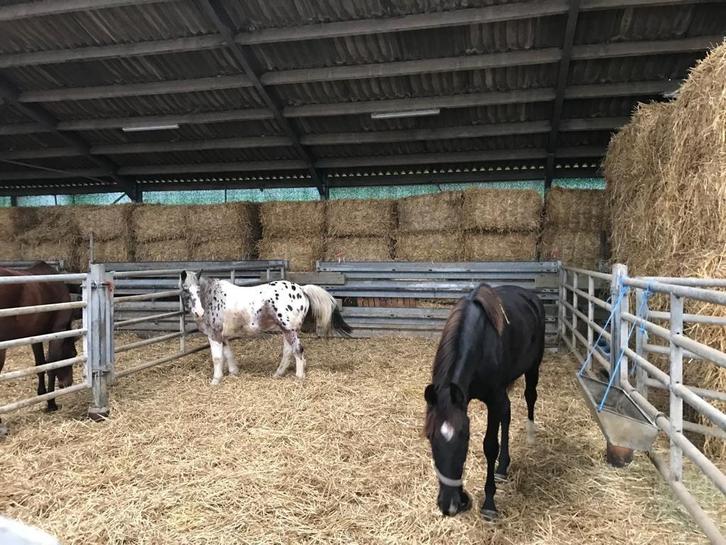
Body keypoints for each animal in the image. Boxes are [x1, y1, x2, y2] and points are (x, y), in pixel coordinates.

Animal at [0, 261, 79, 413]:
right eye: (73, 354)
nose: (68, 383)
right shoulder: (57, 331)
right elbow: (52, 365)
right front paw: (51, 403)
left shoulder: (36, 335)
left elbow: (40, 364)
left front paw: (42, 392)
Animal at [180, 271, 352, 384]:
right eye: (185, 289)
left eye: (198, 290)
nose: (198, 312)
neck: (211, 298)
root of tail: (302, 289)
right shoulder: (223, 336)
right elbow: (228, 354)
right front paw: (234, 372)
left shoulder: (214, 334)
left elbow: (217, 358)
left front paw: (215, 380)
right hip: (288, 330)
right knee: (288, 351)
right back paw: (278, 374)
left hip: (290, 330)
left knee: (298, 350)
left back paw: (299, 377)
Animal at [423, 283, 545, 521]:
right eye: (430, 436)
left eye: (465, 437)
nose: (449, 504)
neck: (480, 344)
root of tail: (531, 296)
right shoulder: (467, 398)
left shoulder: (493, 399)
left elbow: (490, 446)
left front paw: (489, 503)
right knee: (507, 413)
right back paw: (502, 468)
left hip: (533, 367)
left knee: (530, 397)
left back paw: (530, 436)